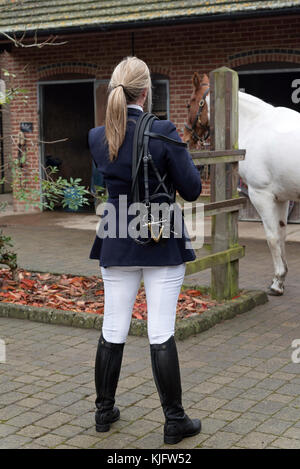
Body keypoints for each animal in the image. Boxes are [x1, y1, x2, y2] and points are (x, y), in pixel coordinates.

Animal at [184, 71, 300, 294]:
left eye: (190, 103)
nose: (185, 138)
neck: (256, 124)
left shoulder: (261, 194)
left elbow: (272, 237)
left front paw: (276, 283)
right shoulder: (281, 198)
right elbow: (281, 234)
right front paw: (280, 279)